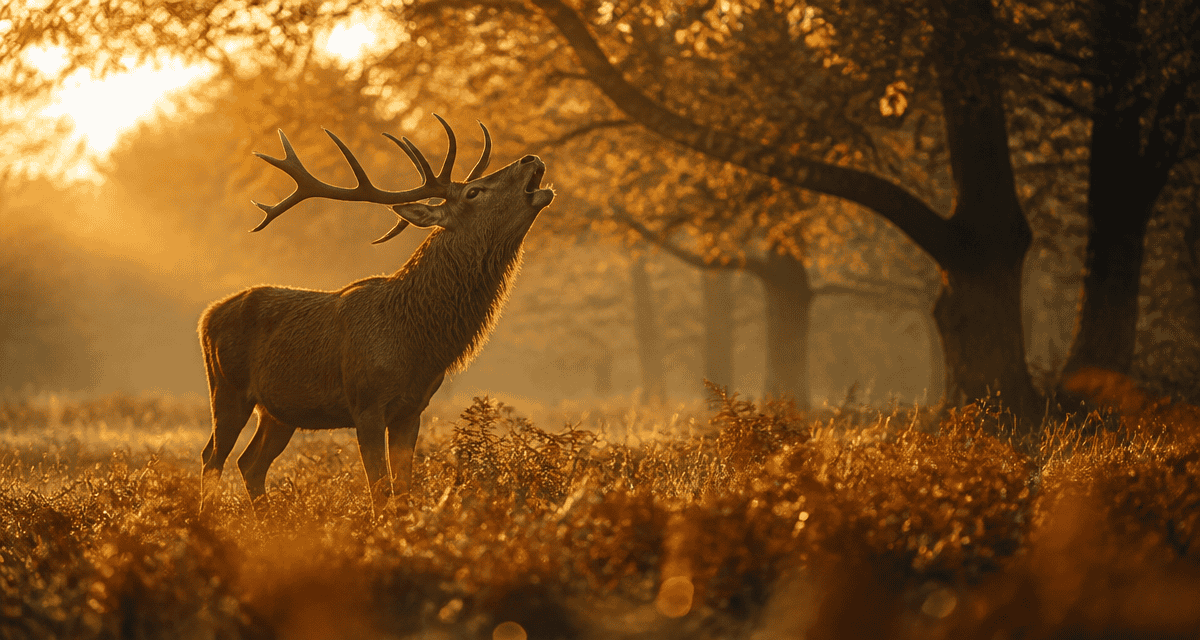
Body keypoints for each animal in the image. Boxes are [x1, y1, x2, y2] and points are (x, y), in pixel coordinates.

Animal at [198, 115, 553, 515]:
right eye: (474, 192)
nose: (529, 158)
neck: (417, 343)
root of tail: (207, 316)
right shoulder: (365, 403)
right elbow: (379, 491)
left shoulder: (412, 409)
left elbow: (403, 492)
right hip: (226, 387)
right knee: (212, 456)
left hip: (279, 411)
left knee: (250, 462)